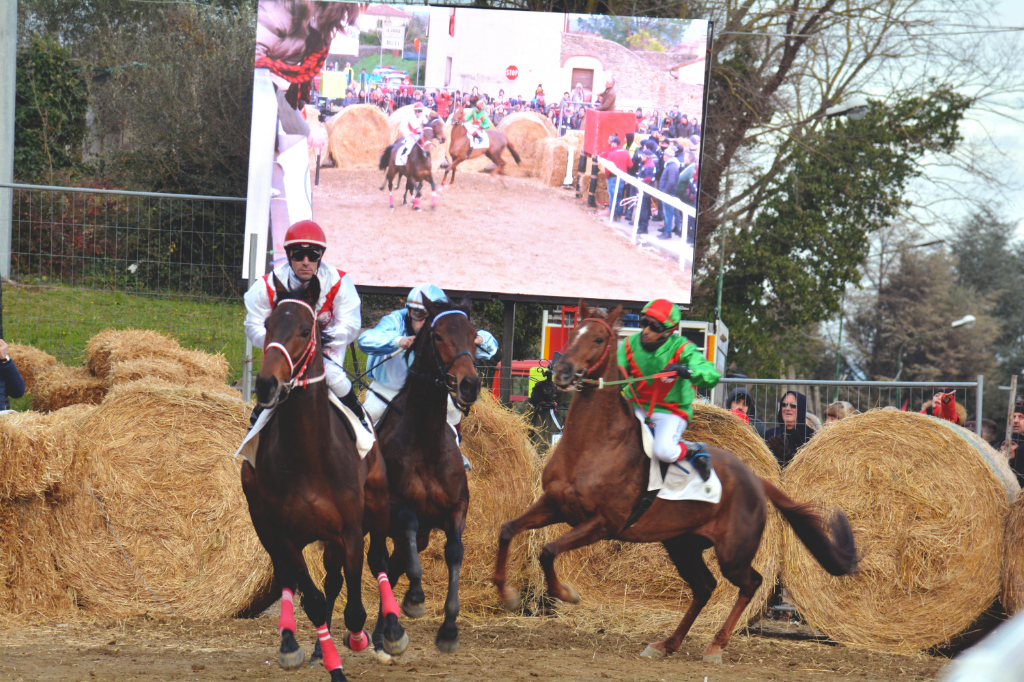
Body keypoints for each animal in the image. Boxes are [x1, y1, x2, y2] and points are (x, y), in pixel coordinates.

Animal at [242, 276, 407, 679]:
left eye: (306, 329)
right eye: (267, 325)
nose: (266, 384)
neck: (308, 456)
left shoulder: (350, 529)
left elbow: (356, 608)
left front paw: (363, 638)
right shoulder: (283, 534)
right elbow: (314, 599)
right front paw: (331, 662)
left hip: (376, 505)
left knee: (379, 561)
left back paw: (391, 631)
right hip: (268, 525)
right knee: (297, 578)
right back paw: (297, 645)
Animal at [372, 292, 479, 655]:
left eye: (474, 335)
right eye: (439, 336)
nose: (470, 384)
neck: (426, 442)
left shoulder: (456, 509)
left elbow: (455, 552)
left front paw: (448, 629)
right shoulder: (395, 506)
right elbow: (407, 521)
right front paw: (416, 598)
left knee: (393, 564)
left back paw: (384, 631)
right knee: (378, 562)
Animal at [491, 301, 860, 659]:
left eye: (598, 338)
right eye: (572, 333)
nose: (563, 371)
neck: (594, 444)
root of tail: (757, 479)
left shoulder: (602, 523)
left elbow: (548, 549)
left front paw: (565, 592)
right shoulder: (553, 504)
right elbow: (509, 530)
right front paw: (505, 591)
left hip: (732, 551)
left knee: (750, 583)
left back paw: (715, 645)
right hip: (683, 544)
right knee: (705, 587)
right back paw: (667, 643)